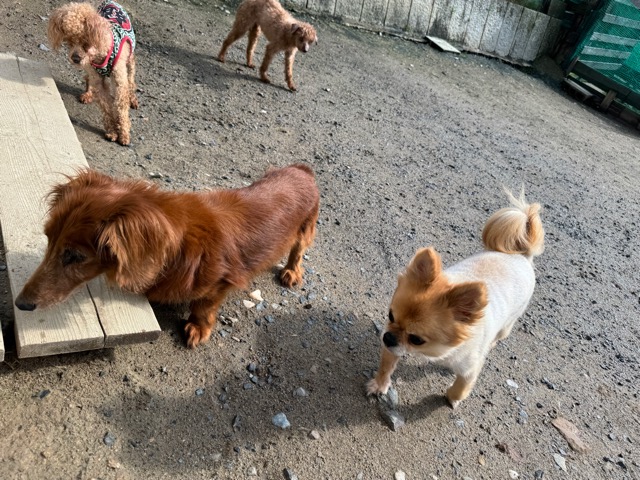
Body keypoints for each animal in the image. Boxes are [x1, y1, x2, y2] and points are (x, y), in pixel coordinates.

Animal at [14, 165, 319, 349]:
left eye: (75, 256)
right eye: (48, 239)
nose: (20, 304)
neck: (177, 248)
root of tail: (302, 170)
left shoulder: (220, 282)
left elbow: (205, 306)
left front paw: (197, 328)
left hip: (305, 229)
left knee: (298, 251)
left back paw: (292, 272)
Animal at [48, 1, 138, 145]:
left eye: (86, 42)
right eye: (69, 41)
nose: (75, 58)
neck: (101, 54)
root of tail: (111, 2)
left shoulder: (119, 80)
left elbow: (121, 106)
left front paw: (124, 133)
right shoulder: (97, 79)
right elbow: (106, 107)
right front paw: (112, 131)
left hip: (130, 61)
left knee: (131, 80)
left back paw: (132, 98)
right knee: (88, 77)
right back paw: (88, 93)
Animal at [367, 190, 545, 408]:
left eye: (416, 339)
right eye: (390, 315)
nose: (387, 337)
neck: (437, 352)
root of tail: (522, 255)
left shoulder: (469, 368)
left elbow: (462, 387)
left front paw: (452, 398)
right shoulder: (393, 345)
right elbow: (386, 366)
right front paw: (379, 384)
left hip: (507, 325)